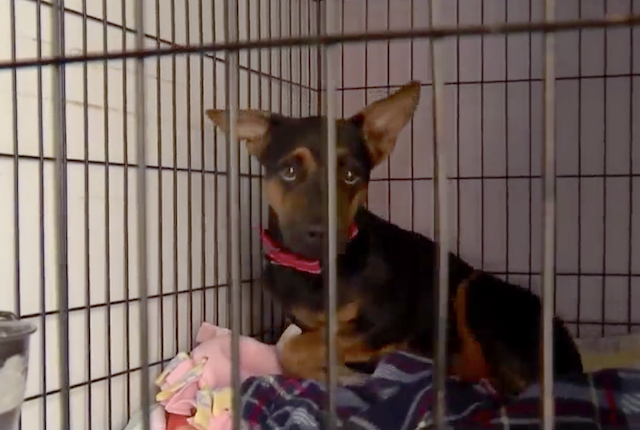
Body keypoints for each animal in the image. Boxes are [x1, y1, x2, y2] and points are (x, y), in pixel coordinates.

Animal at [206, 80, 584, 396]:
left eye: (350, 174)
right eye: (289, 171)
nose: (323, 233)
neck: (313, 270)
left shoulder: (387, 320)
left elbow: (297, 347)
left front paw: (339, 373)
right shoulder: (301, 319)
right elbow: (295, 341)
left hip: (474, 290)